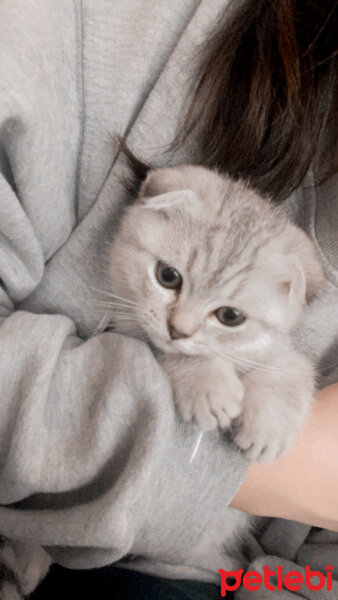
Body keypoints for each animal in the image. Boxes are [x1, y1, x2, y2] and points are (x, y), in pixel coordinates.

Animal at [109, 152, 324, 462]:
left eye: (230, 316)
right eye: (168, 276)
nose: (177, 331)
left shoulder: (275, 343)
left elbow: (294, 366)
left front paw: (270, 423)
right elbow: (177, 352)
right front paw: (207, 384)